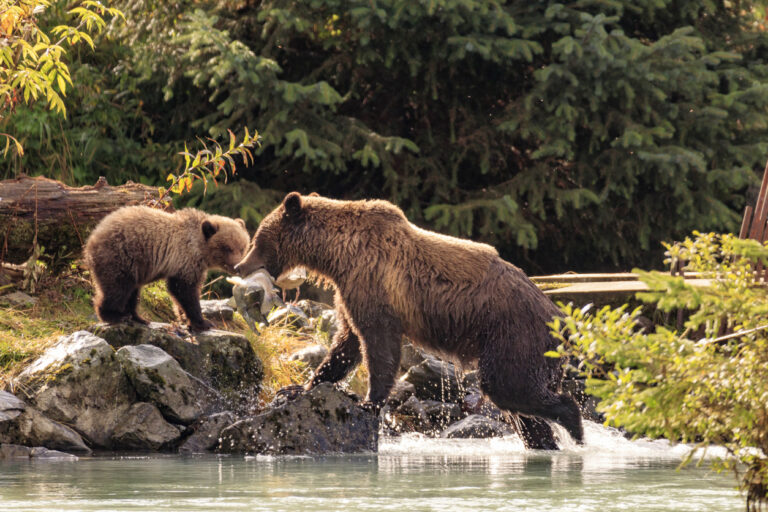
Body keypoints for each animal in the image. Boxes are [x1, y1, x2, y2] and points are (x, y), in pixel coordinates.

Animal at [83, 205, 250, 332]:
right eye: (227, 248)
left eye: (242, 247)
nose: (237, 267)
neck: (201, 249)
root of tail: (93, 236)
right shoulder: (186, 259)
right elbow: (184, 290)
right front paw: (203, 322)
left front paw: (185, 319)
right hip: (121, 255)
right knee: (117, 288)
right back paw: (114, 315)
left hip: (135, 266)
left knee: (132, 291)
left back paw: (138, 317)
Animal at [234, 192, 584, 449]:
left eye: (258, 238)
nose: (240, 266)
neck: (337, 255)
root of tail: (562, 320)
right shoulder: (349, 290)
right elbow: (345, 344)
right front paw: (298, 388)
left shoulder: (372, 282)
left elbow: (377, 342)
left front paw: (369, 402)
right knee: (520, 409)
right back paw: (545, 442)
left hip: (515, 335)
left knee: (509, 386)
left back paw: (574, 428)